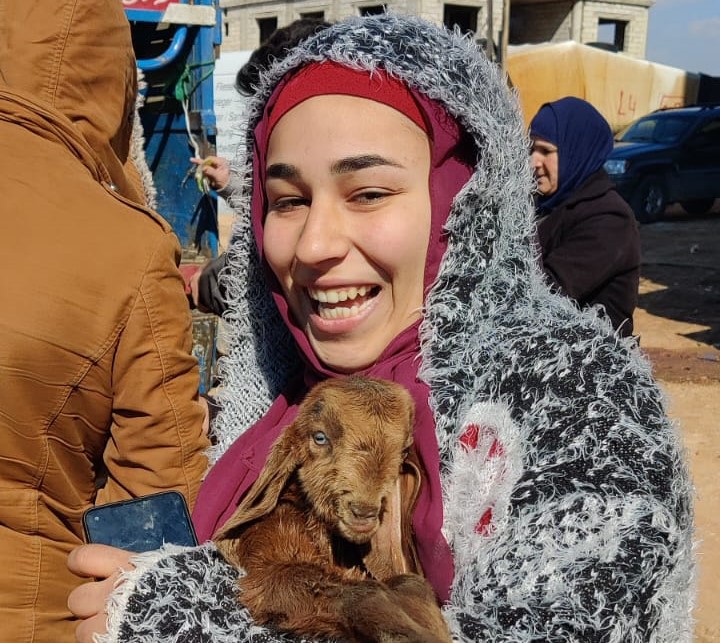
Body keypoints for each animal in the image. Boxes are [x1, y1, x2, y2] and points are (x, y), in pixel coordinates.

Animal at [212, 378, 450, 643]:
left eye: (403, 451)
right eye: (320, 437)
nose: (363, 512)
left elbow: (409, 582)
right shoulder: (266, 560)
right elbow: (366, 591)